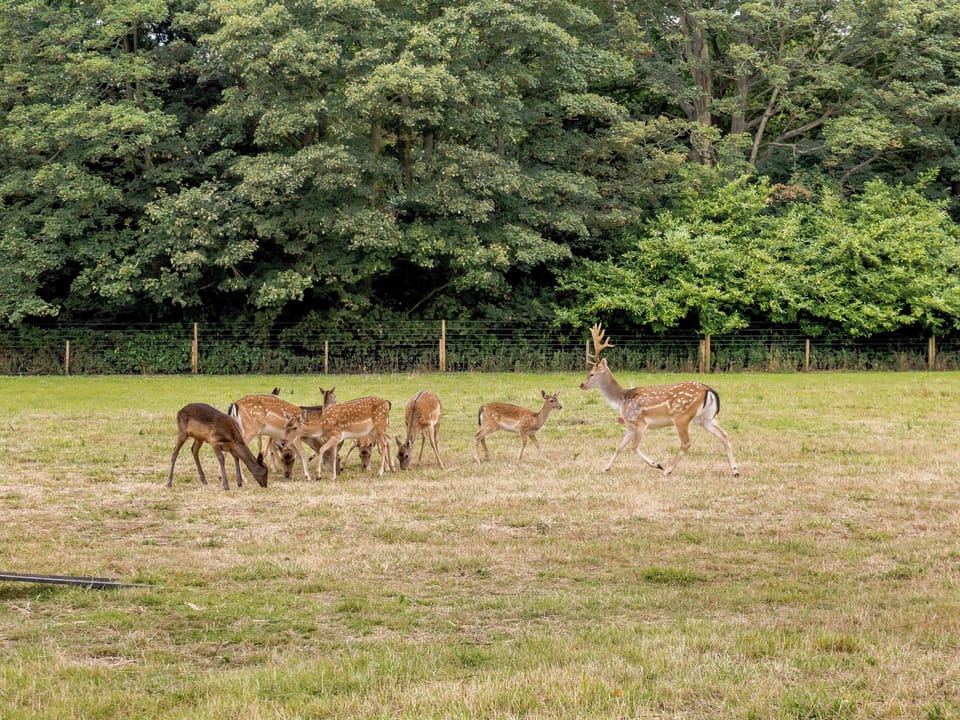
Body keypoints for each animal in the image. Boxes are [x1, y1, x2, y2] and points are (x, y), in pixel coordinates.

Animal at [580, 324, 739, 476]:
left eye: (592, 374)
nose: (581, 385)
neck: (621, 401)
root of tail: (709, 390)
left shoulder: (640, 422)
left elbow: (633, 447)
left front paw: (656, 464)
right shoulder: (630, 425)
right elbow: (619, 446)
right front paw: (605, 468)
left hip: (682, 416)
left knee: (686, 443)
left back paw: (667, 470)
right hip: (705, 418)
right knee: (724, 434)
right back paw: (735, 470)